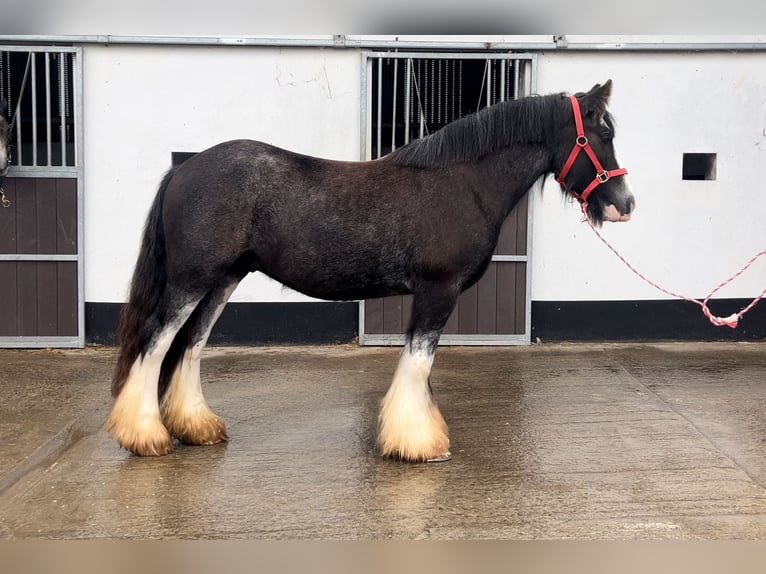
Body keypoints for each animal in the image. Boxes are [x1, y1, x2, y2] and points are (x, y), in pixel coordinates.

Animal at [108, 80, 635, 462]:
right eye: (604, 135)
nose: (624, 205)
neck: (463, 183)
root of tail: (183, 169)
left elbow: (421, 367)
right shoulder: (438, 291)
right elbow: (418, 363)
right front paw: (418, 444)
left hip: (223, 279)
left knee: (191, 344)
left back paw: (197, 428)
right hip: (191, 281)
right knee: (156, 341)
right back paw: (145, 436)